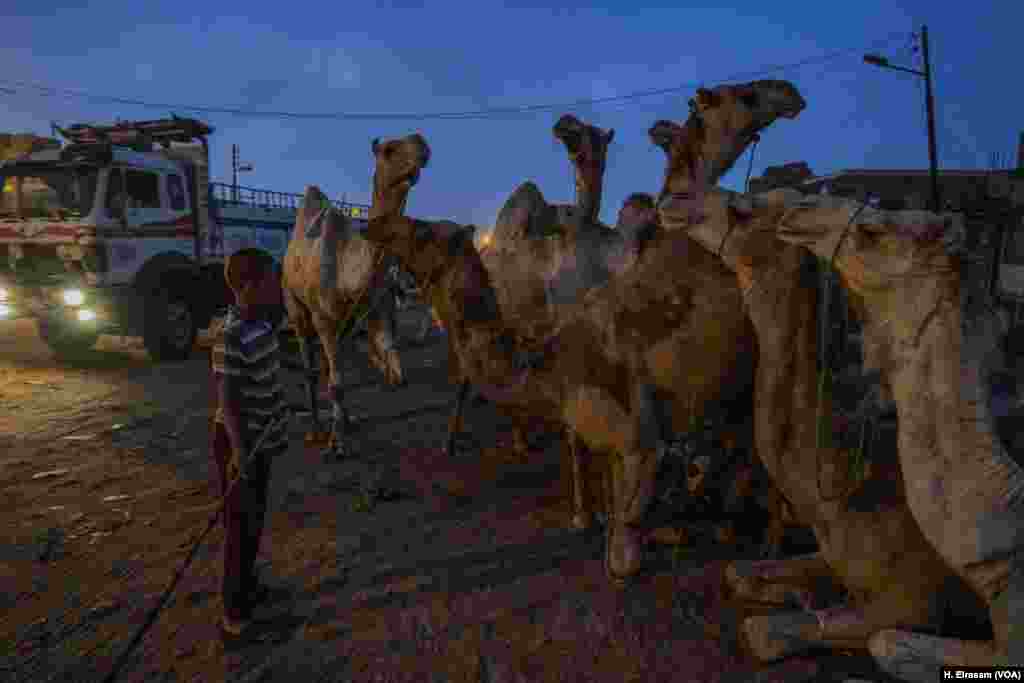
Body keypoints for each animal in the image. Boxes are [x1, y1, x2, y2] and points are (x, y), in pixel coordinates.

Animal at [282, 133, 430, 458]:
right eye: (388, 150)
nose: (422, 145)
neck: (347, 267)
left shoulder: (367, 310)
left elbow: (352, 373)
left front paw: (343, 428)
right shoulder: (323, 318)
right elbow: (335, 381)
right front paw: (336, 444)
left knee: (329, 368)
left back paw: (345, 420)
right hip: (294, 304)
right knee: (310, 366)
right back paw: (316, 428)